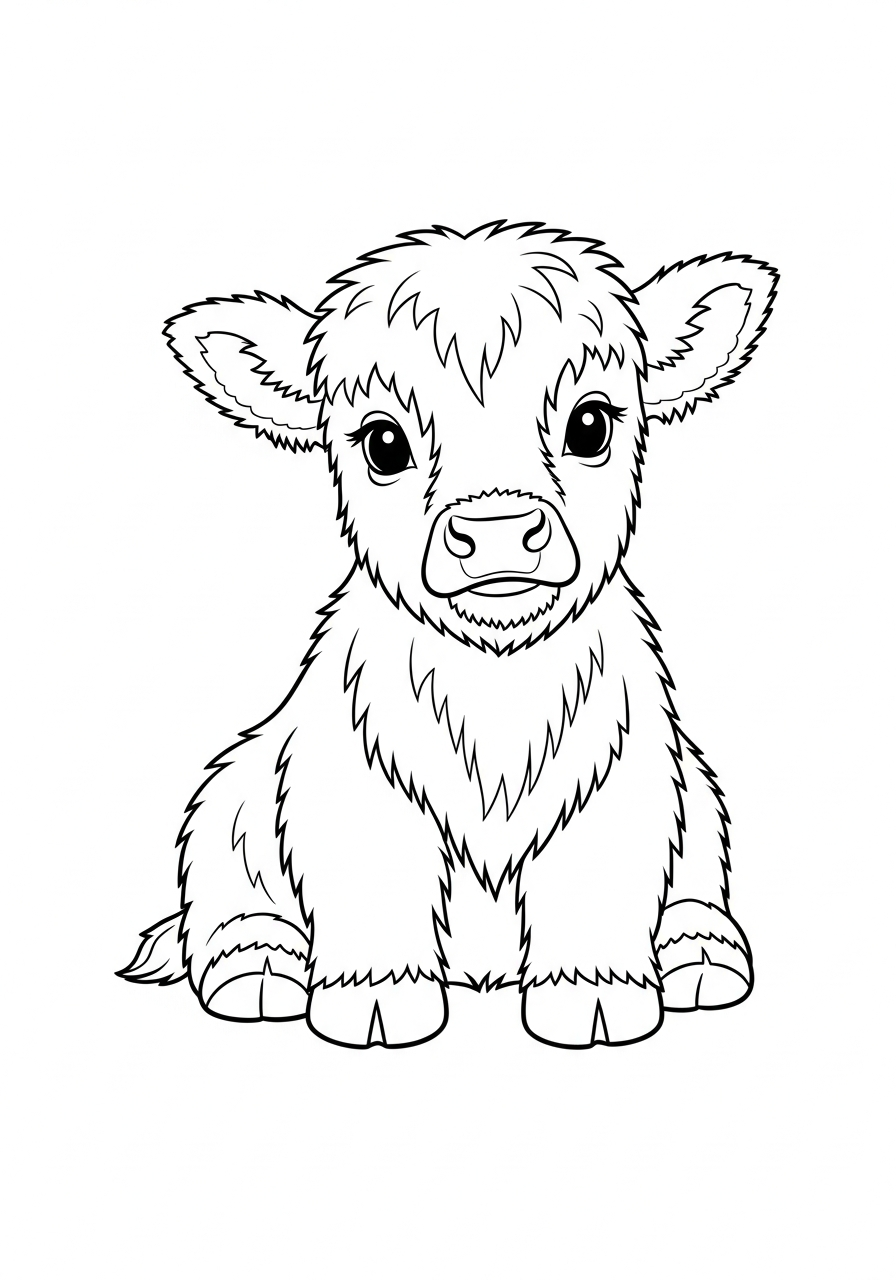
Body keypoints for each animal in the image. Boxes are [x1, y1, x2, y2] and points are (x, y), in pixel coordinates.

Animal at [119, 221, 777, 1049]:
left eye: (590, 423)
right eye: (382, 443)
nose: (496, 530)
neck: (497, 684)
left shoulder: (622, 777)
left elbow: (596, 890)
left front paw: (596, 999)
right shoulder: (351, 777)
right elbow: (373, 888)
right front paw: (374, 1003)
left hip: (702, 799)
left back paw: (699, 951)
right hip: (230, 797)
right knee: (224, 897)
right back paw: (258, 968)